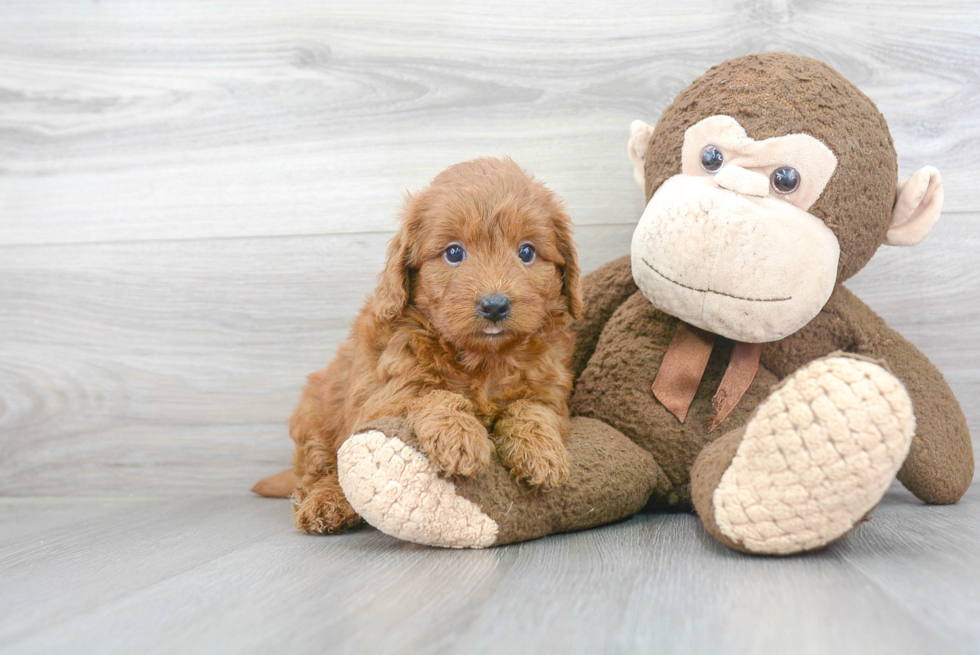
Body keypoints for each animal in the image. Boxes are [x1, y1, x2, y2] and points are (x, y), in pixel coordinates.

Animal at [256, 156, 584, 536]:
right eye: (454, 252)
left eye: (527, 252)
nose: (494, 305)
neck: (484, 359)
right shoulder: (387, 396)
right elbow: (433, 394)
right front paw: (460, 437)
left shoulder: (550, 390)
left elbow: (532, 409)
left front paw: (542, 452)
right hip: (315, 416)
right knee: (323, 469)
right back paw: (326, 503)